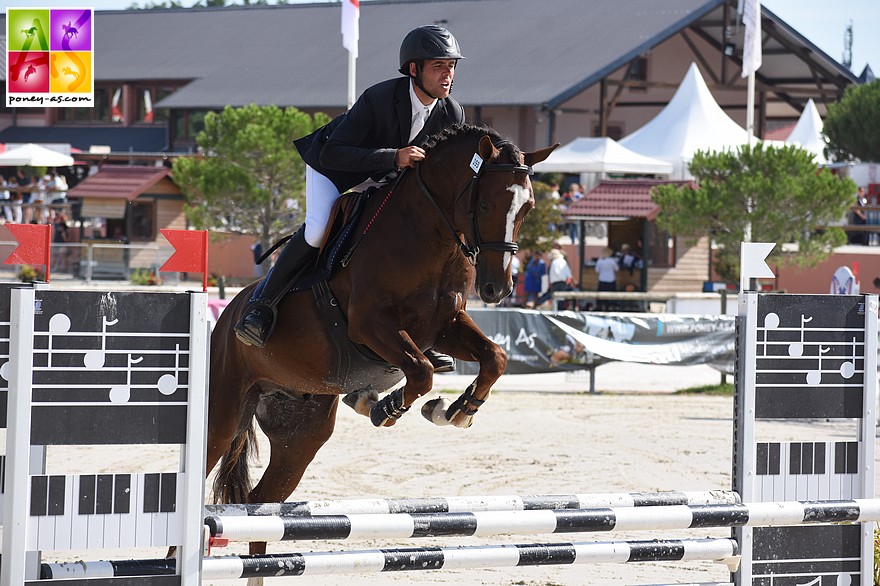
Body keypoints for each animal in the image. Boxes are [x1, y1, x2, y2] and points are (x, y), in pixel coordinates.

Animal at [206, 123, 556, 552]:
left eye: (528, 209)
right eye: (487, 205)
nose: (497, 289)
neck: (431, 236)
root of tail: (228, 316)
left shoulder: (444, 325)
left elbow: (494, 358)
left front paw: (457, 411)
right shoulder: (371, 325)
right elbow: (421, 372)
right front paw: (385, 407)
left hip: (301, 433)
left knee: (261, 503)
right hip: (223, 415)